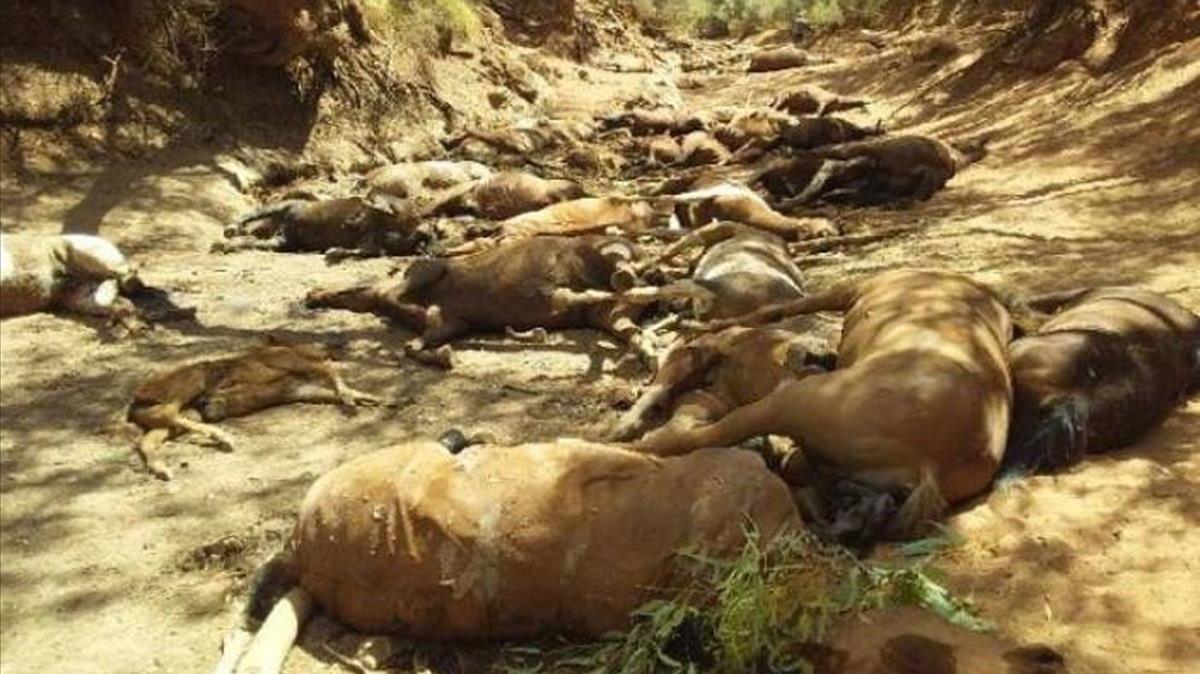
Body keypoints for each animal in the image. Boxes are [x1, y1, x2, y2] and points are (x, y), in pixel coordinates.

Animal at [127, 340, 379, 477]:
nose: (333, 349)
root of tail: (135, 399)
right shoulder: (295, 366)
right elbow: (330, 372)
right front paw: (351, 402)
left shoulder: (297, 389)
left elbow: (333, 390)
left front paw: (374, 398)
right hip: (192, 382)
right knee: (167, 412)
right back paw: (221, 436)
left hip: (178, 417)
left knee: (147, 439)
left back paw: (162, 469)